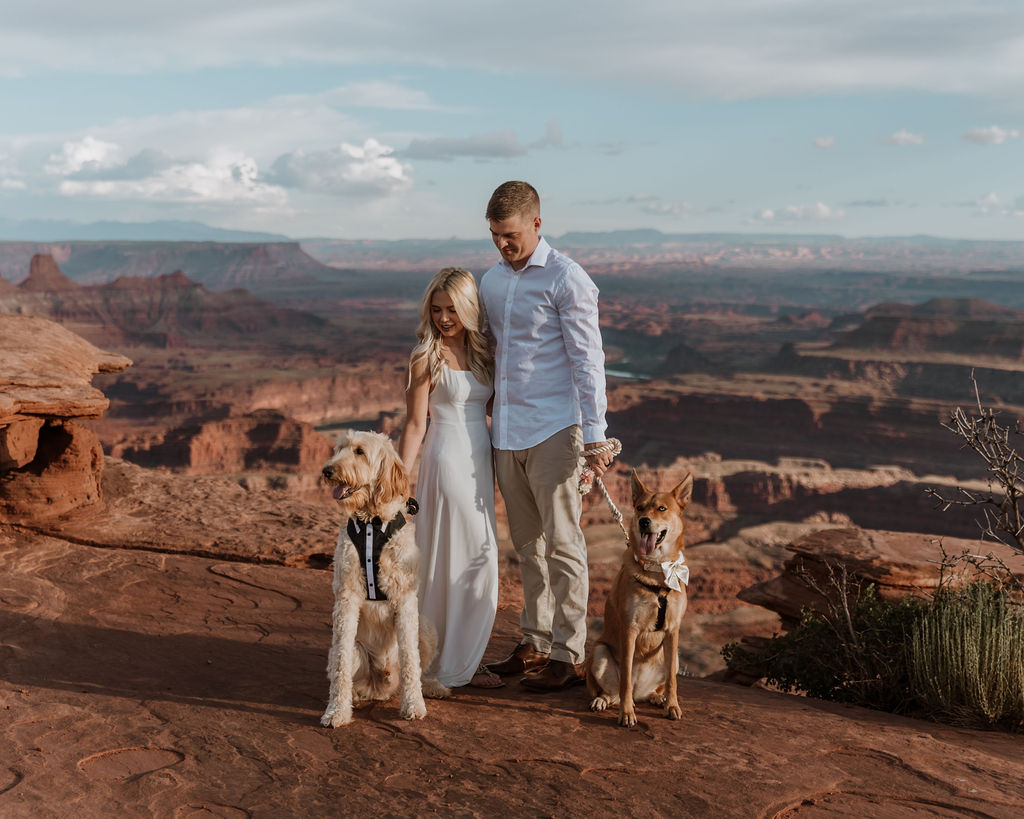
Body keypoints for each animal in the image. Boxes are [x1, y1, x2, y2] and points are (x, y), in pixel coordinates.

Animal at [589, 470, 692, 724]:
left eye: (662, 508)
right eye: (639, 507)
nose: (643, 521)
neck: (657, 572)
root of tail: (640, 692)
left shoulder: (673, 630)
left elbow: (672, 680)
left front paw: (672, 705)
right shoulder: (630, 629)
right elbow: (625, 678)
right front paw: (626, 713)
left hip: (673, 658)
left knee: (655, 686)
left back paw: (657, 698)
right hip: (599, 651)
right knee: (613, 692)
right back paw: (604, 701)